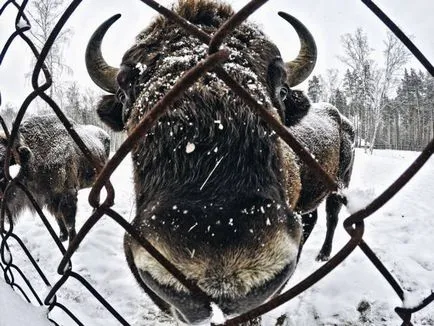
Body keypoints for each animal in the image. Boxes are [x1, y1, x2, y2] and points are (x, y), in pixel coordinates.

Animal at [0, 114, 110, 244]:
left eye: (2, 164)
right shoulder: (50, 198)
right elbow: (58, 217)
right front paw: (62, 237)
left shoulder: (68, 194)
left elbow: (69, 223)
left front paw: (72, 242)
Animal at [86, 1, 354, 324]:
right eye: (125, 94)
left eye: (281, 91)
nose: (222, 268)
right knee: (312, 217)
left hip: (340, 184)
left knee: (332, 215)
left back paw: (323, 254)